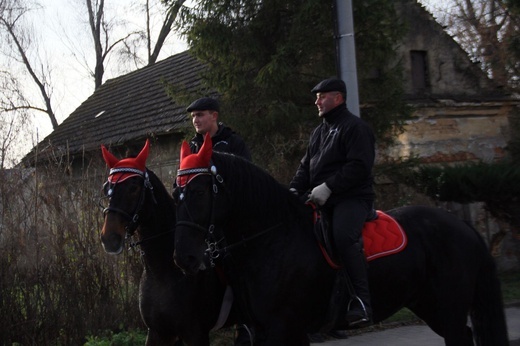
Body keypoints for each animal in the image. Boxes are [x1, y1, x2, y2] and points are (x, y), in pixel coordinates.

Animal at [99, 141, 240, 346]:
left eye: (133, 187)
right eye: (106, 188)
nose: (109, 238)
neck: (162, 272)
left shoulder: (196, 334)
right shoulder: (157, 332)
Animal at [173, 135, 510, 346]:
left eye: (199, 191)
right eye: (176, 192)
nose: (183, 258)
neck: (272, 238)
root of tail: (463, 226)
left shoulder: (281, 327)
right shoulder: (272, 330)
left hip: (449, 307)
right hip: (428, 305)